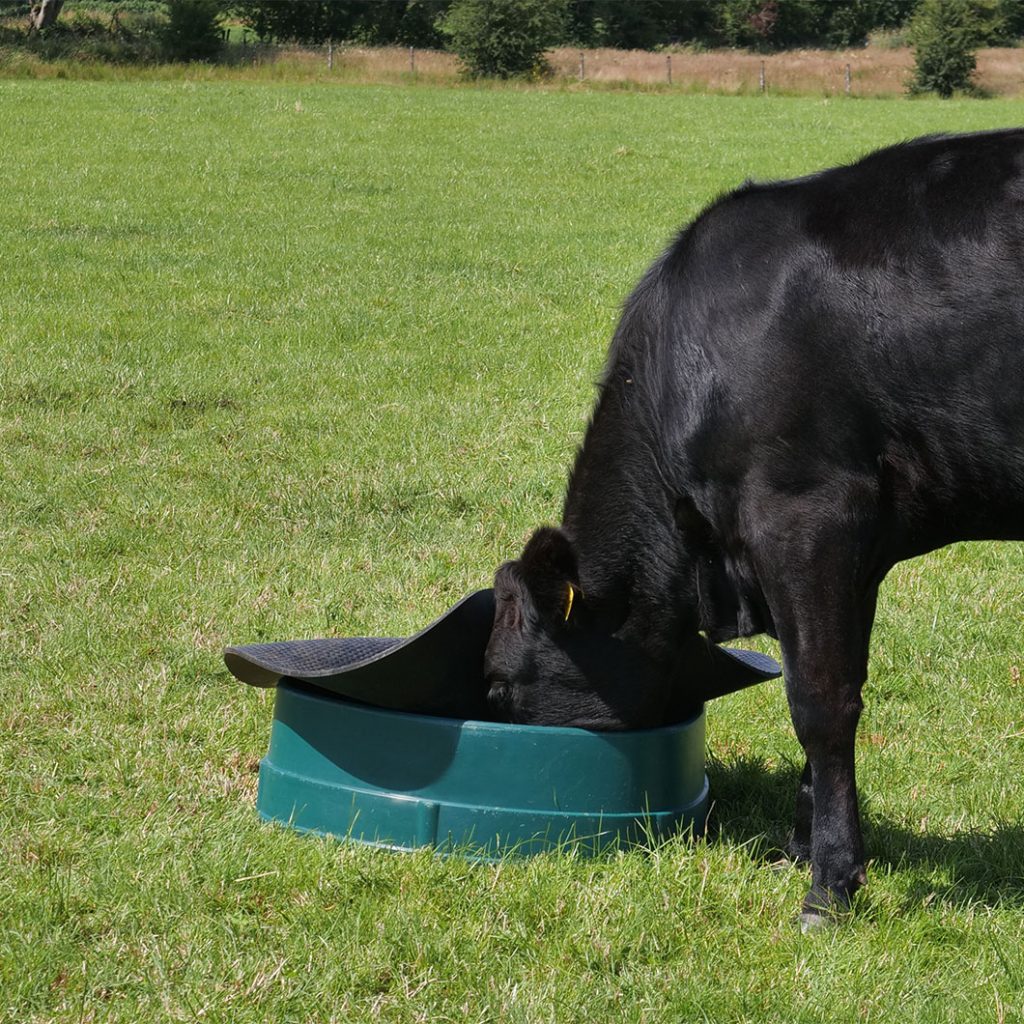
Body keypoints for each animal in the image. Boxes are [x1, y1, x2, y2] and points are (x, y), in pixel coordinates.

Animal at [485, 128, 1024, 929]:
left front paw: (829, 886)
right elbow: (836, 675)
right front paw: (802, 846)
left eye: (495, 686)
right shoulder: (858, 546)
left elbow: (820, 699)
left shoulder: (805, 513)